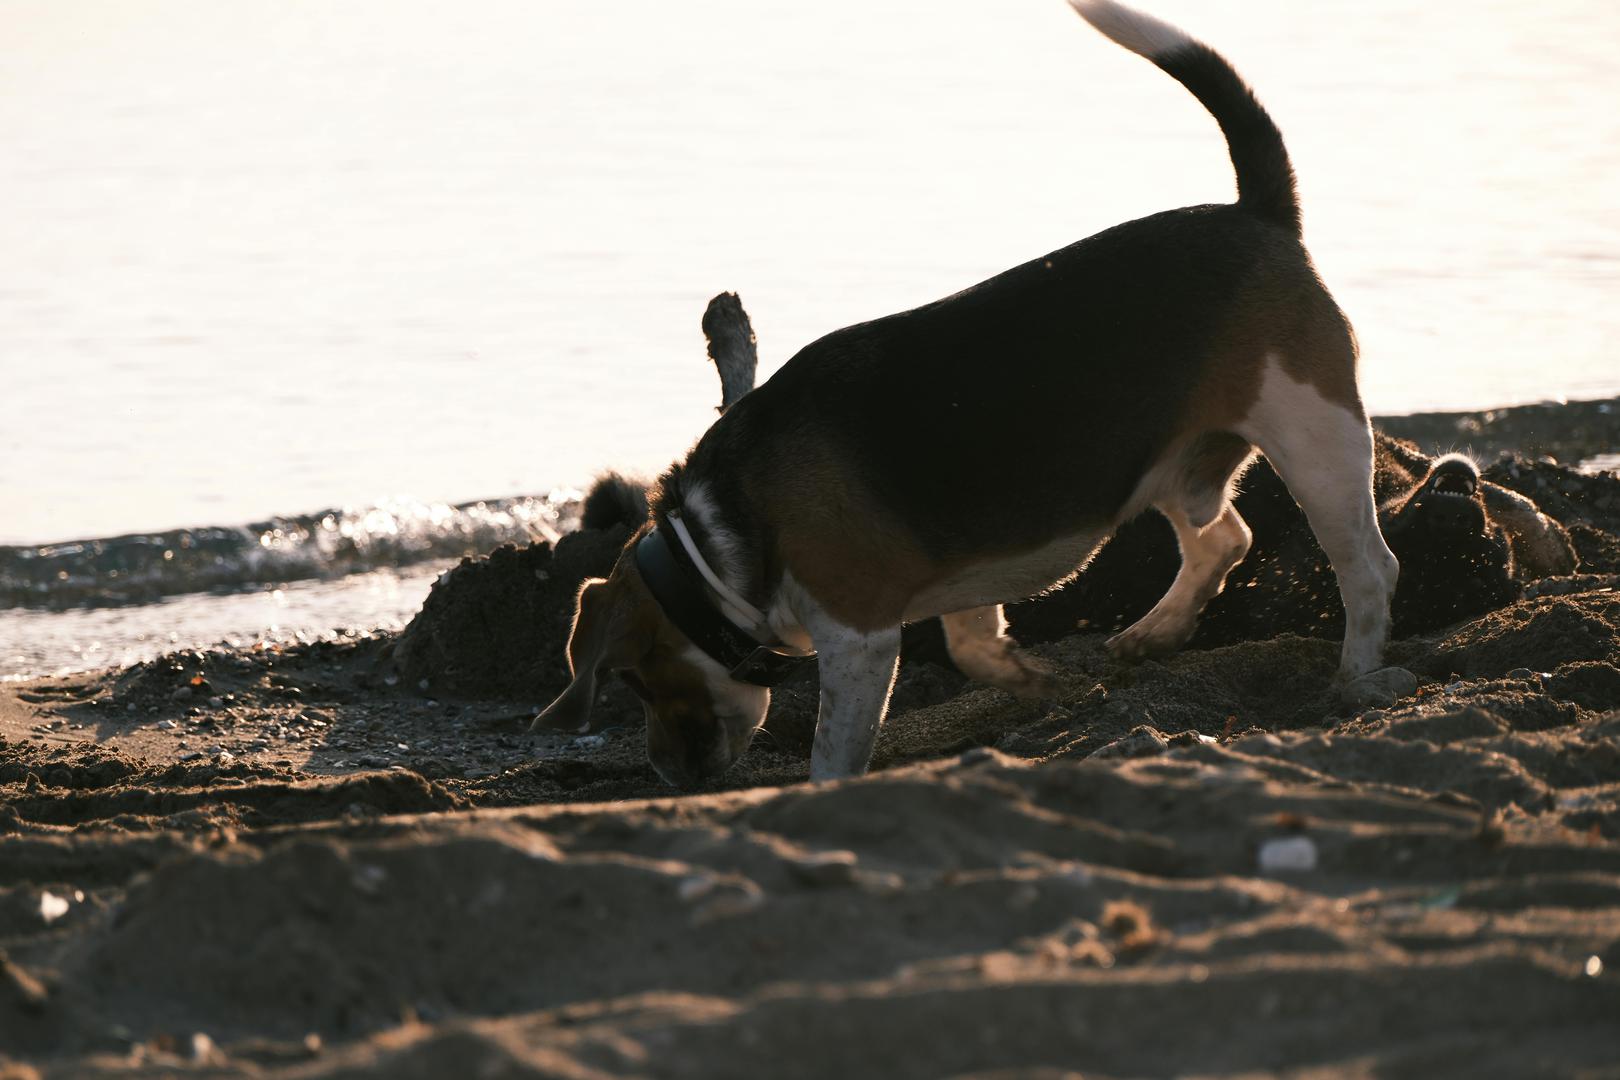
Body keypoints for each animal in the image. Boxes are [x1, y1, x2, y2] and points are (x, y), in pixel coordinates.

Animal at [537, 2, 1399, 793]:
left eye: (636, 678)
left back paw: (1354, 680)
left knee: (1367, 569)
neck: (726, 534)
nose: (669, 773)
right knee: (1223, 537)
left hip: (1316, 439)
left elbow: (835, 748)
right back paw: (1158, 632)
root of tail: (1259, 213)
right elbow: (971, 644)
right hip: (1174, 460)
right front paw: (1036, 680)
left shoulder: (859, 637)